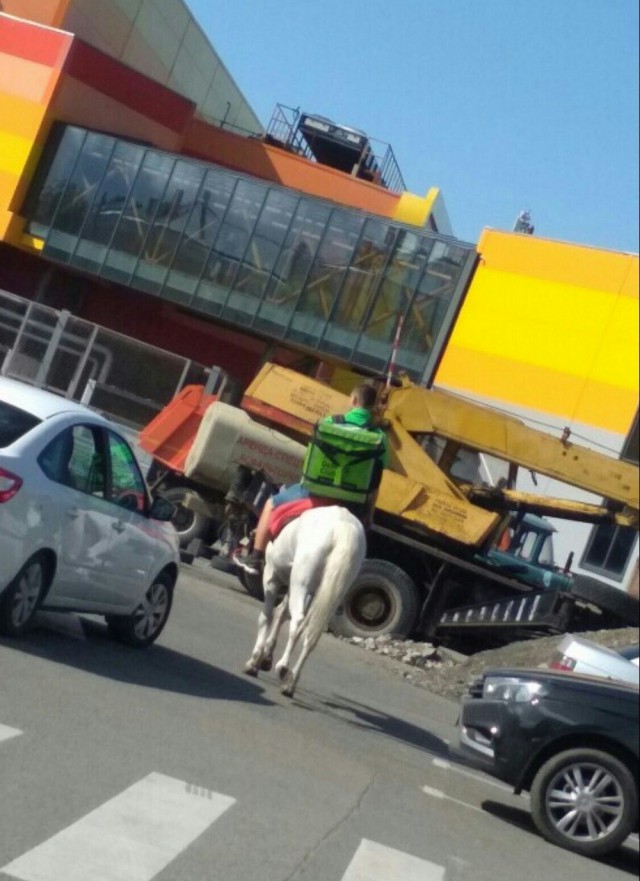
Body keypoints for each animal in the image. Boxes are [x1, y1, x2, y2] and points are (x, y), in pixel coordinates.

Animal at [244, 506, 364, 696]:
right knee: (312, 633)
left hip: (300, 582)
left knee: (298, 622)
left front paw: (255, 660)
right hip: (332, 592)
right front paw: (266, 656)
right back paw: (291, 681)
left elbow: (267, 616)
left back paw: (283, 667)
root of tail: (342, 525)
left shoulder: (272, 576)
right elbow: (281, 613)